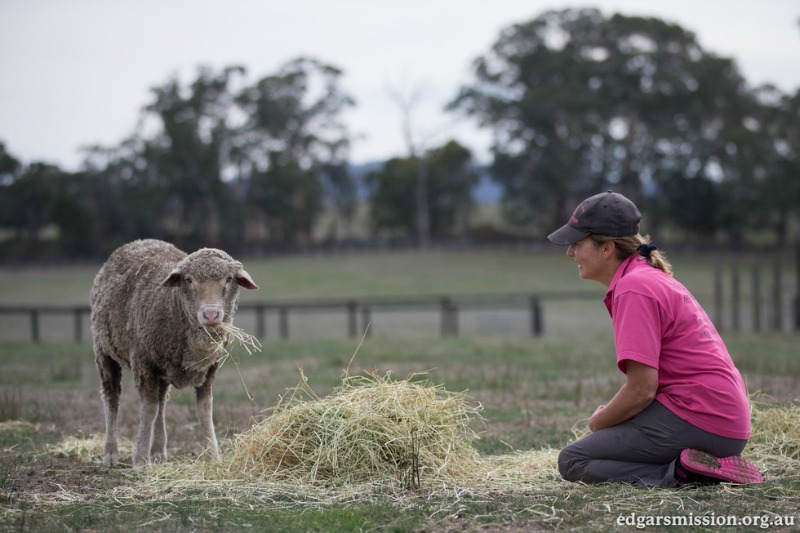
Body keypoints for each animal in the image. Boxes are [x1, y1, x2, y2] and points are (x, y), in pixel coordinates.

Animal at [91, 238, 260, 466]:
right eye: (188, 280)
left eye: (229, 279)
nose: (211, 314)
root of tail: (138, 242)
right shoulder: (143, 363)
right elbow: (148, 409)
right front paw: (140, 459)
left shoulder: (209, 368)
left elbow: (204, 409)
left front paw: (213, 455)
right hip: (104, 351)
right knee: (111, 398)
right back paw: (110, 453)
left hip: (163, 367)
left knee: (162, 402)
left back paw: (158, 450)